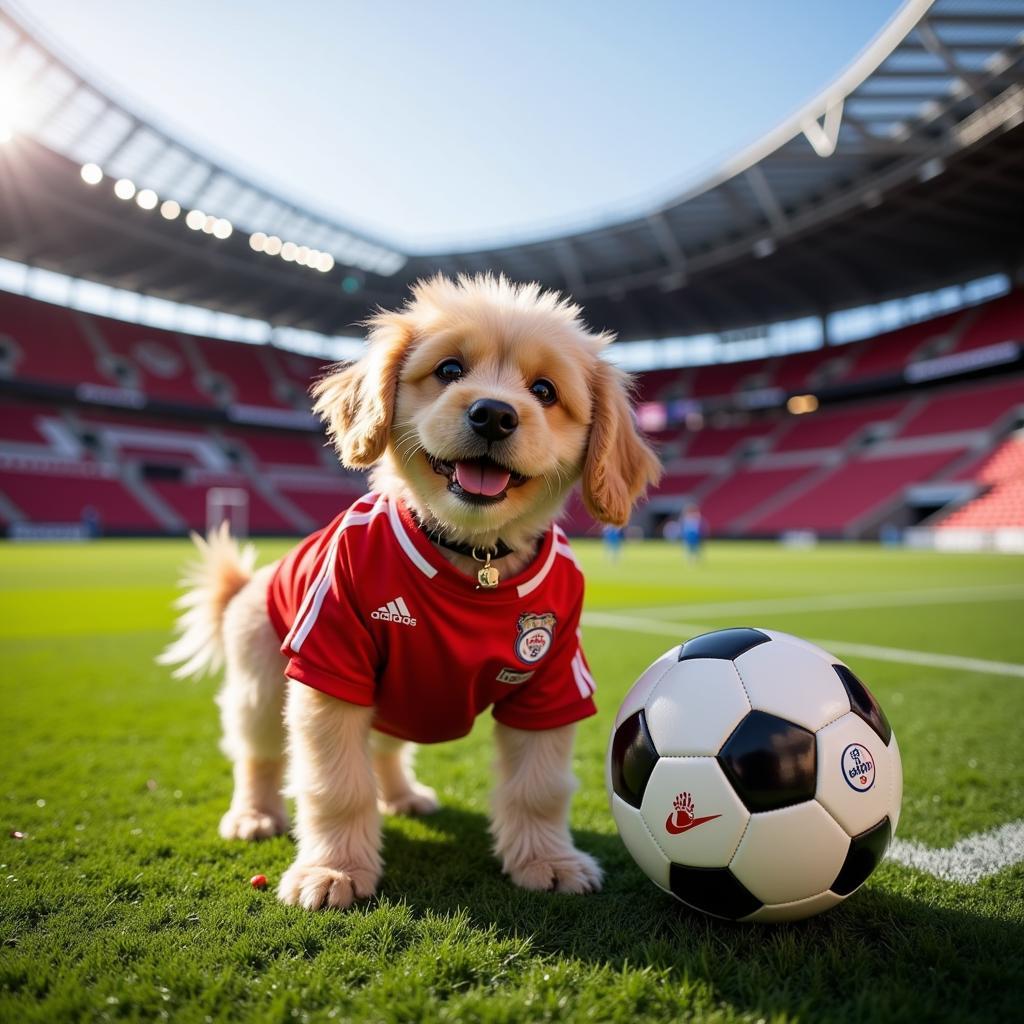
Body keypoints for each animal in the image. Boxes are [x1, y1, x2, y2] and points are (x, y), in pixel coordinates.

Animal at [156, 274, 659, 913]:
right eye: (449, 370)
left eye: (544, 390)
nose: (494, 414)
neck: (472, 559)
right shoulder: (329, 670)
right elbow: (335, 786)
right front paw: (334, 870)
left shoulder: (551, 685)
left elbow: (539, 787)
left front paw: (547, 861)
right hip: (263, 684)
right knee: (259, 754)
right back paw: (254, 815)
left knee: (385, 750)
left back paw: (401, 796)